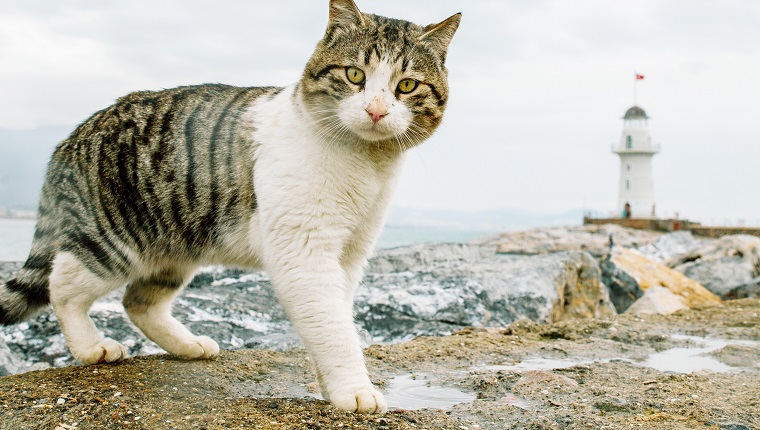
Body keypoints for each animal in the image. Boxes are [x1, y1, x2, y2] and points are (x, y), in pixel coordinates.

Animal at [0, 0, 460, 414]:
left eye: (406, 86)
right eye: (355, 75)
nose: (376, 110)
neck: (367, 163)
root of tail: (71, 137)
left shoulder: (350, 253)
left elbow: (333, 318)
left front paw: (330, 385)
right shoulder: (304, 252)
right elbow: (333, 327)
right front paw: (354, 390)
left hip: (176, 242)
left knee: (138, 301)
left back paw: (187, 345)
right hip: (114, 238)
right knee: (63, 286)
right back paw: (91, 346)